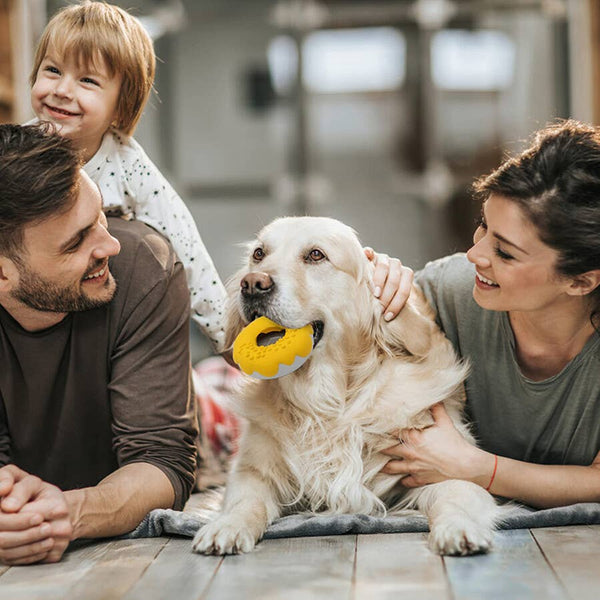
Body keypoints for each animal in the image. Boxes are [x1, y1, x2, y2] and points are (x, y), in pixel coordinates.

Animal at [193, 217, 502, 556]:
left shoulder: (444, 466)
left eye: (316, 255)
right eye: (259, 254)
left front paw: (459, 528)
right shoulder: (252, 470)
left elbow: (455, 497)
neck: (328, 402)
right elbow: (245, 501)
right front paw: (227, 526)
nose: (252, 284)